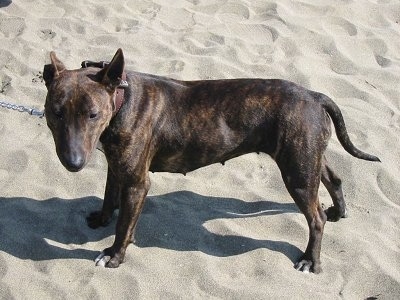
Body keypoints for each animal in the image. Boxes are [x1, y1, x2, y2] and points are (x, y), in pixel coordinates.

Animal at [42, 48, 380, 274]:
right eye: (55, 112)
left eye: (92, 114)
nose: (73, 162)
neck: (123, 100)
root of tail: (314, 95)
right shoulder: (117, 166)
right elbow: (109, 195)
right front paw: (102, 218)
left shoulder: (137, 182)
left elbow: (125, 224)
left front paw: (114, 254)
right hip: (308, 159)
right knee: (333, 178)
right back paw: (339, 210)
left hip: (296, 172)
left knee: (315, 218)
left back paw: (311, 258)